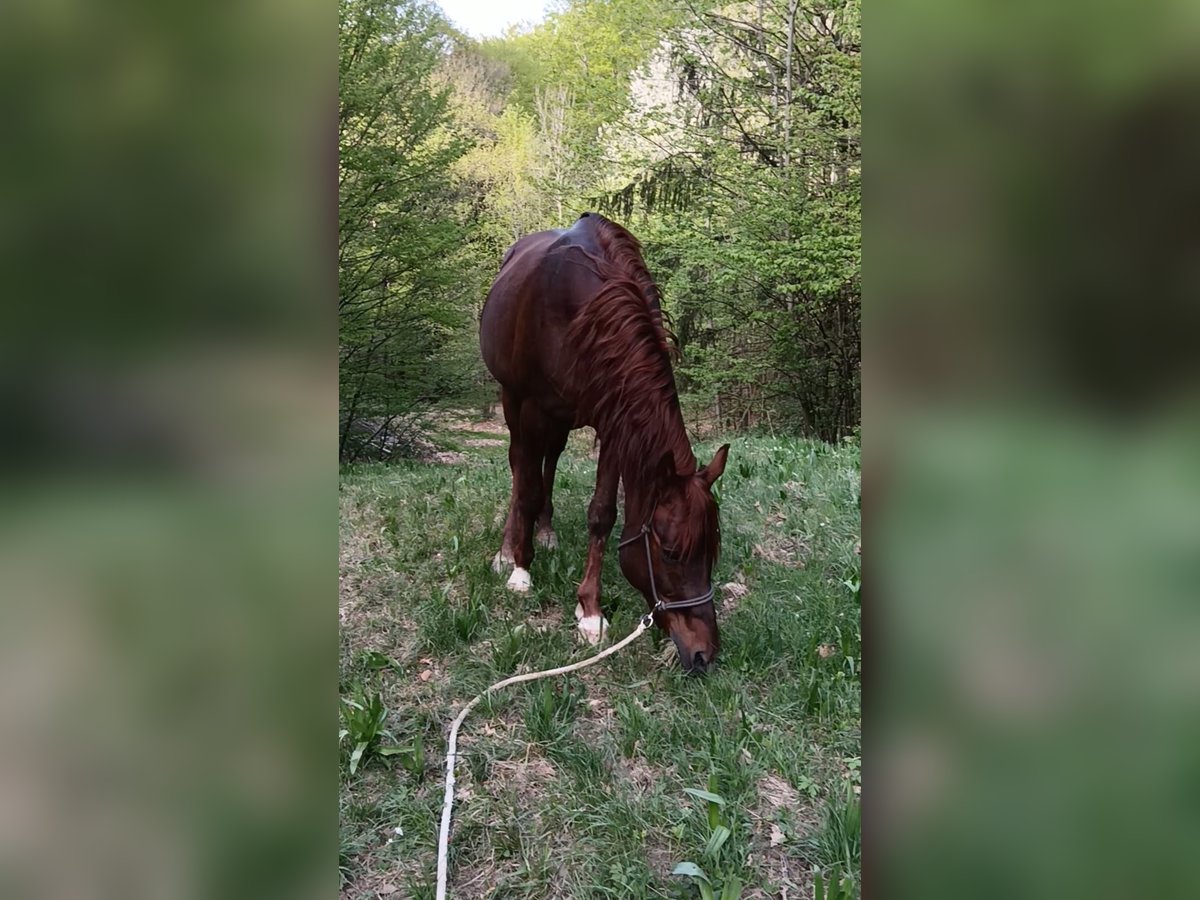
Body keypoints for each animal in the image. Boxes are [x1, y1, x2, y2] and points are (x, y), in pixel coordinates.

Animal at [480, 213, 729, 676]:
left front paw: (590, 610)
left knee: (550, 458)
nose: (704, 654)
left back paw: (546, 530)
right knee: (520, 466)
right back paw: (509, 549)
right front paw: (521, 570)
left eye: (711, 551)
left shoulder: (615, 420)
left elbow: (602, 514)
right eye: (671, 553)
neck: (582, 309)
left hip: (559, 418)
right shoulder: (531, 406)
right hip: (513, 401)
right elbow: (526, 487)